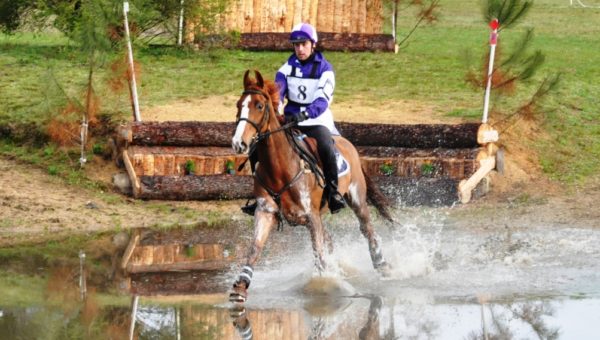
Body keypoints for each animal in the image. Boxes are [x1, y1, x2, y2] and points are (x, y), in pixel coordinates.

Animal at [230, 69, 394, 302]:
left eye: (259, 106)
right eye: (239, 104)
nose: (238, 143)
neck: (280, 168)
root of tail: (347, 143)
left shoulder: (310, 216)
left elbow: (319, 254)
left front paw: (328, 285)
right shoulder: (266, 212)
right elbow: (255, 248)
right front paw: (241, 286)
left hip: (356, 199)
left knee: (367, 229)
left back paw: (382, 265)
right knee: (330, 240)